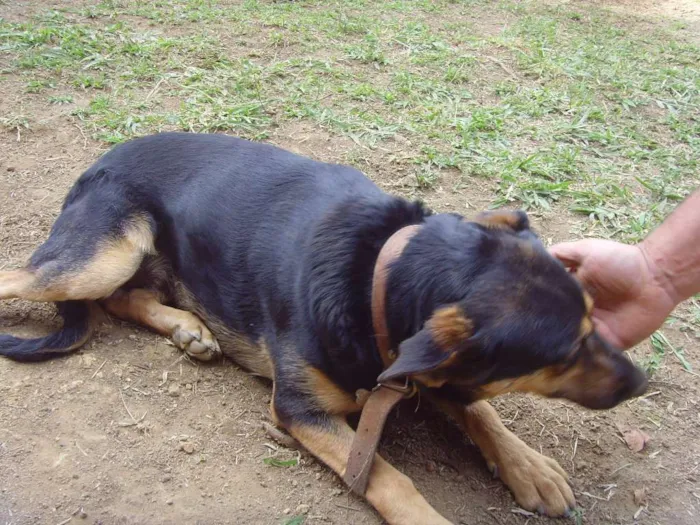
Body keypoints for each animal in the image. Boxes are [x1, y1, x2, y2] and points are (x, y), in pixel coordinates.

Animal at [0, 133, 644, 520]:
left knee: (121, 299)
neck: (379, 271)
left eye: (594, 320)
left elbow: (480, 410)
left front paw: (527, 465)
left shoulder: (428, 370)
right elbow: (391, 478)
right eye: (562, 354)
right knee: (41, 281)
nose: (641, 383)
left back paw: (188, 327)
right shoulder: (300, 411)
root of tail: (96, 163)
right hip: (100, 256)